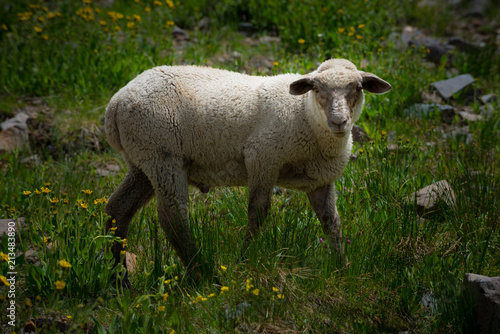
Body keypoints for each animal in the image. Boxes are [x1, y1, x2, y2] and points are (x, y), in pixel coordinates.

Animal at [104, 58, 390, 282]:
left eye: (358, 87)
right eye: (317, 88)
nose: (339, 121)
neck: (304, 114)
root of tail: (115, 103)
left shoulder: (320, 180)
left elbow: (331, 222)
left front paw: (342, 267)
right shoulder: (262, 158)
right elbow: (258, 212)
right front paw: (244, 259)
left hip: (142, 161)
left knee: (118, 209)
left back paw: (119, 280)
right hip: (162, 155)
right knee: (172, 217)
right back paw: (203, 272)